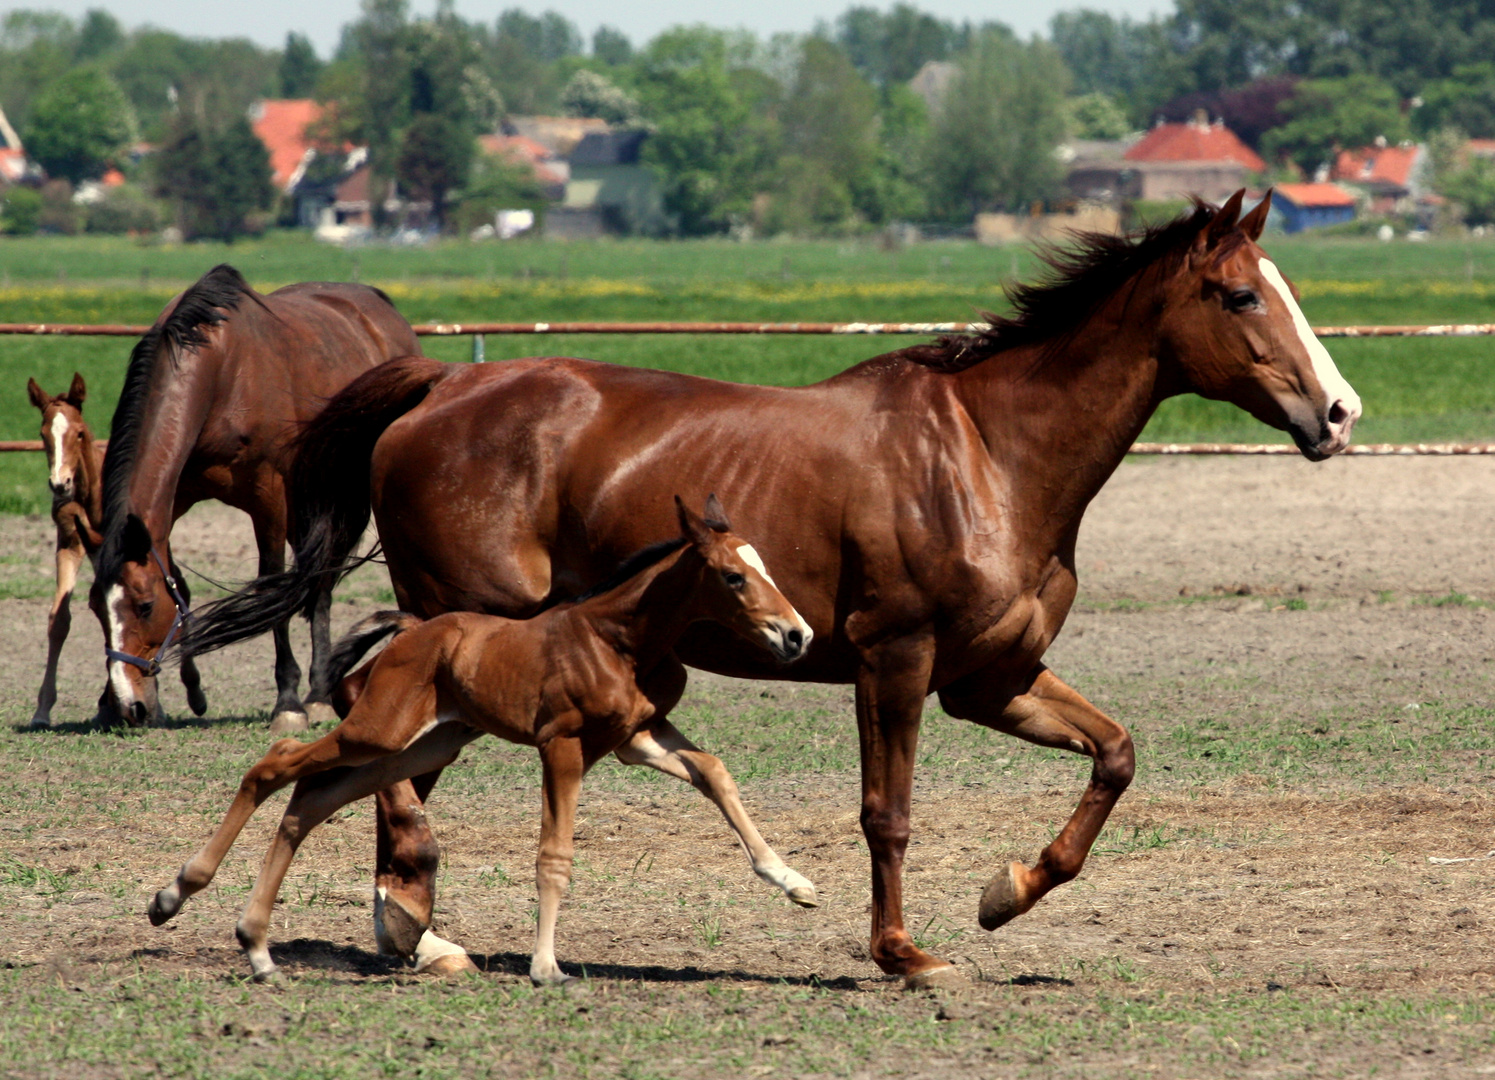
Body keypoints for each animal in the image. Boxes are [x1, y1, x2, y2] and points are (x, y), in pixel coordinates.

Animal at [91, 264, 421, 726]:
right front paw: (184, 689)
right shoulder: (176, 500)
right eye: (95, 609)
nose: (130, 705)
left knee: (319, 583)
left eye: (144, 606)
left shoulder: (268, 498)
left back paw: (318, 694)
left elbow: (271, 586)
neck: (220, 372)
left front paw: (288, 702)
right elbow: (182, 585)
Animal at [186, 192, 1369, 987]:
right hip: (461, 640)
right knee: (385, 770)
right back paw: (410, 927)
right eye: (1239, 294)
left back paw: (410, 929)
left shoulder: (992, 679)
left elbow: (1113, 756)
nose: (1340, 413)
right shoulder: (897, 661)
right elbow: (887, 813)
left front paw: (1005, 894)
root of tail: (443, 385)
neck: (989, 455)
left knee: (383, 770)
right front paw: (902, 952)